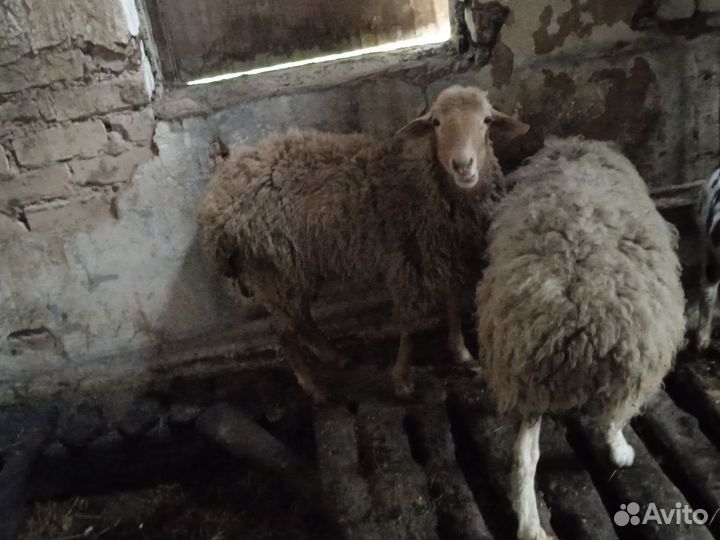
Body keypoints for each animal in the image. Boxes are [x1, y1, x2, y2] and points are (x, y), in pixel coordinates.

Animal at [198, 86, 529, 401]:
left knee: (301, 317)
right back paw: (315, 388)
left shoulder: (446, 253)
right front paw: (402, 380)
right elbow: (409, 324)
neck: (422, 183)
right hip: (271, 270)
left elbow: (453, 302)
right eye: (436, 122)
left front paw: (461, 352)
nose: (463, 165)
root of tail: (215, 204)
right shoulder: (407, 262)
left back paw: (334, 356)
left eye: (487, 120)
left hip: (293, 267)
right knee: (285, 332)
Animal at [475, 137, 686, 540]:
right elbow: (613, 419)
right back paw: (620, 452)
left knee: (524, 457)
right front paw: (621, 451)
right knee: (612, 419)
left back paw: (530, 525)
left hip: (525, 376)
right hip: (625, 369)